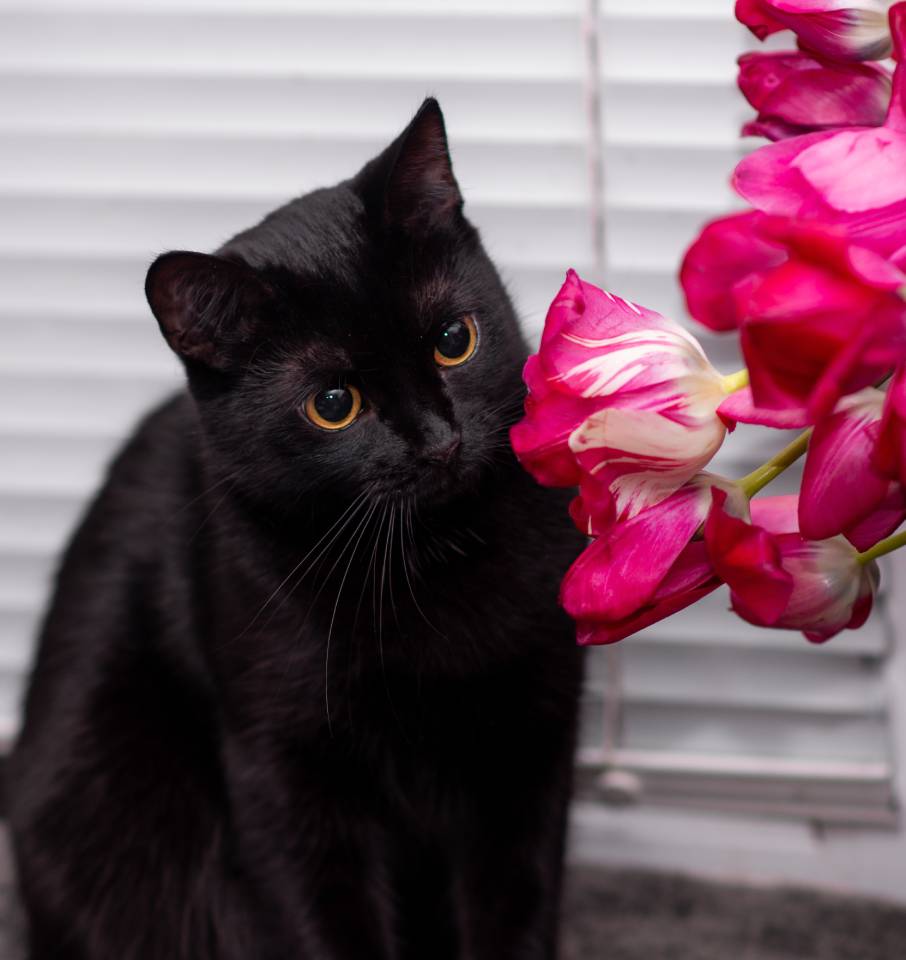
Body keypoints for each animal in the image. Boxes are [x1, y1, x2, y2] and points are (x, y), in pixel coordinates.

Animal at [10, 99, 584, 960]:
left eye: (455, 341)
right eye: (333, 405)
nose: (439, 440)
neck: (427, 561)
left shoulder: (532, 738)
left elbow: (516, 904)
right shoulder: (282, 766)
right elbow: (325, 919)